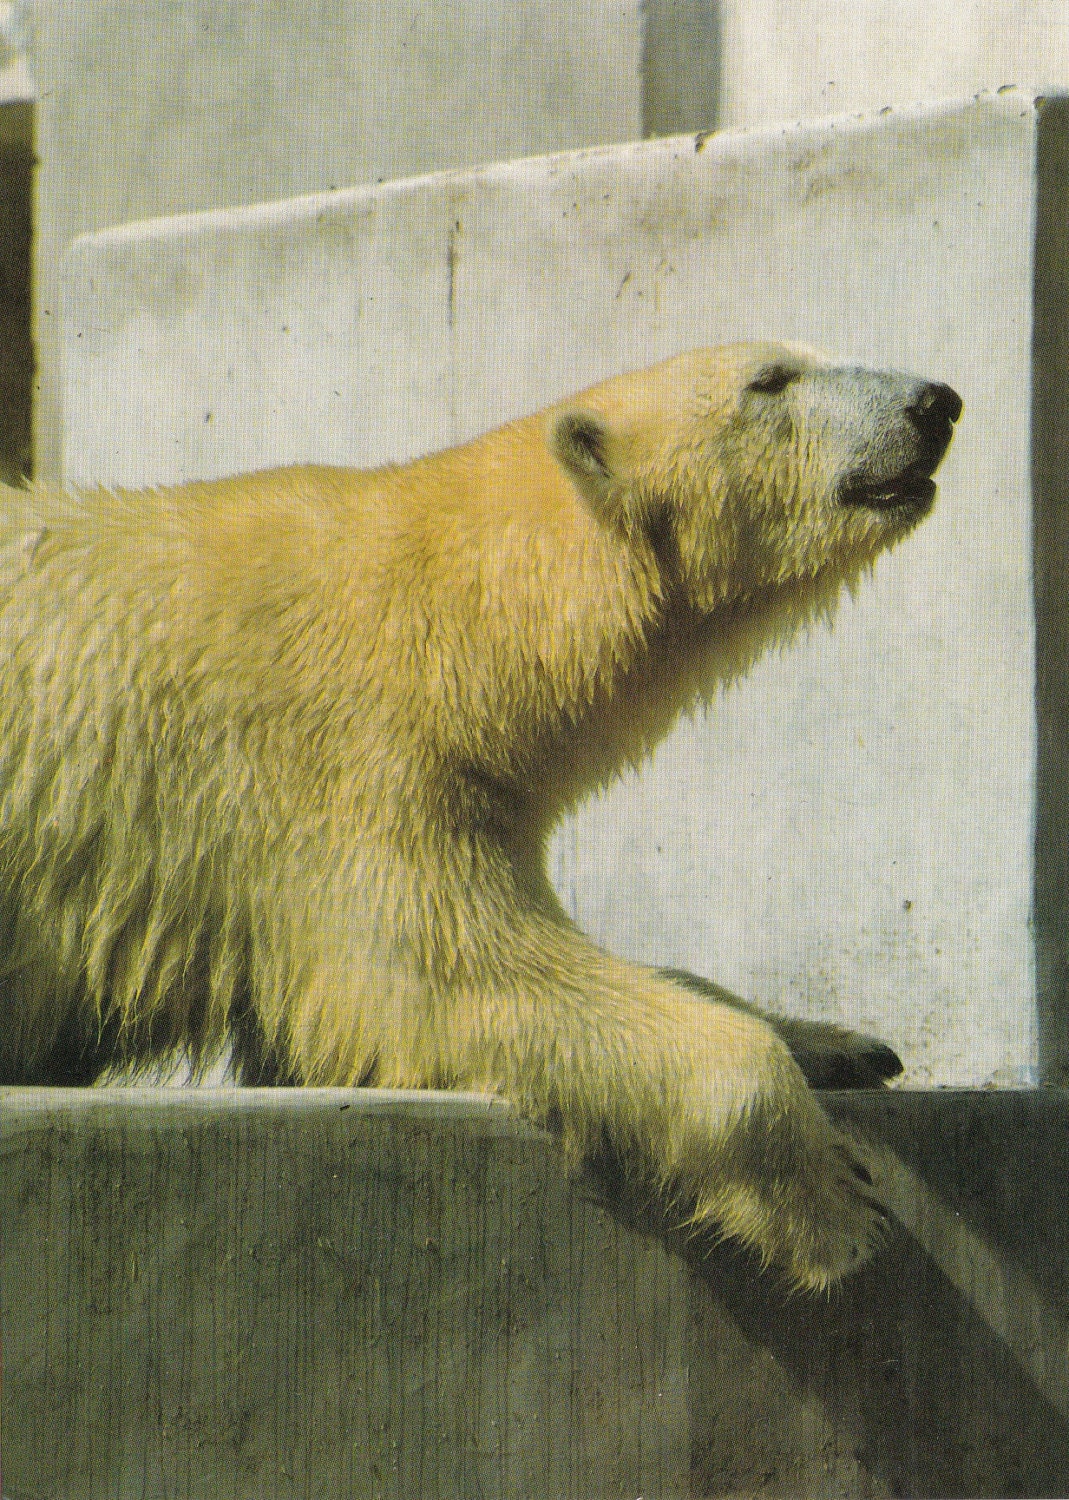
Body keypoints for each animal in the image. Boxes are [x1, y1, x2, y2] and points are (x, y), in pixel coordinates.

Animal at [0, 341, 960, 1290]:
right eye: (770, 380)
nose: (935, 402)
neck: (453, 620)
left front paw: (840, 1043)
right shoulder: (346, 766)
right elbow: (442, 972)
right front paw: (841, 1204)